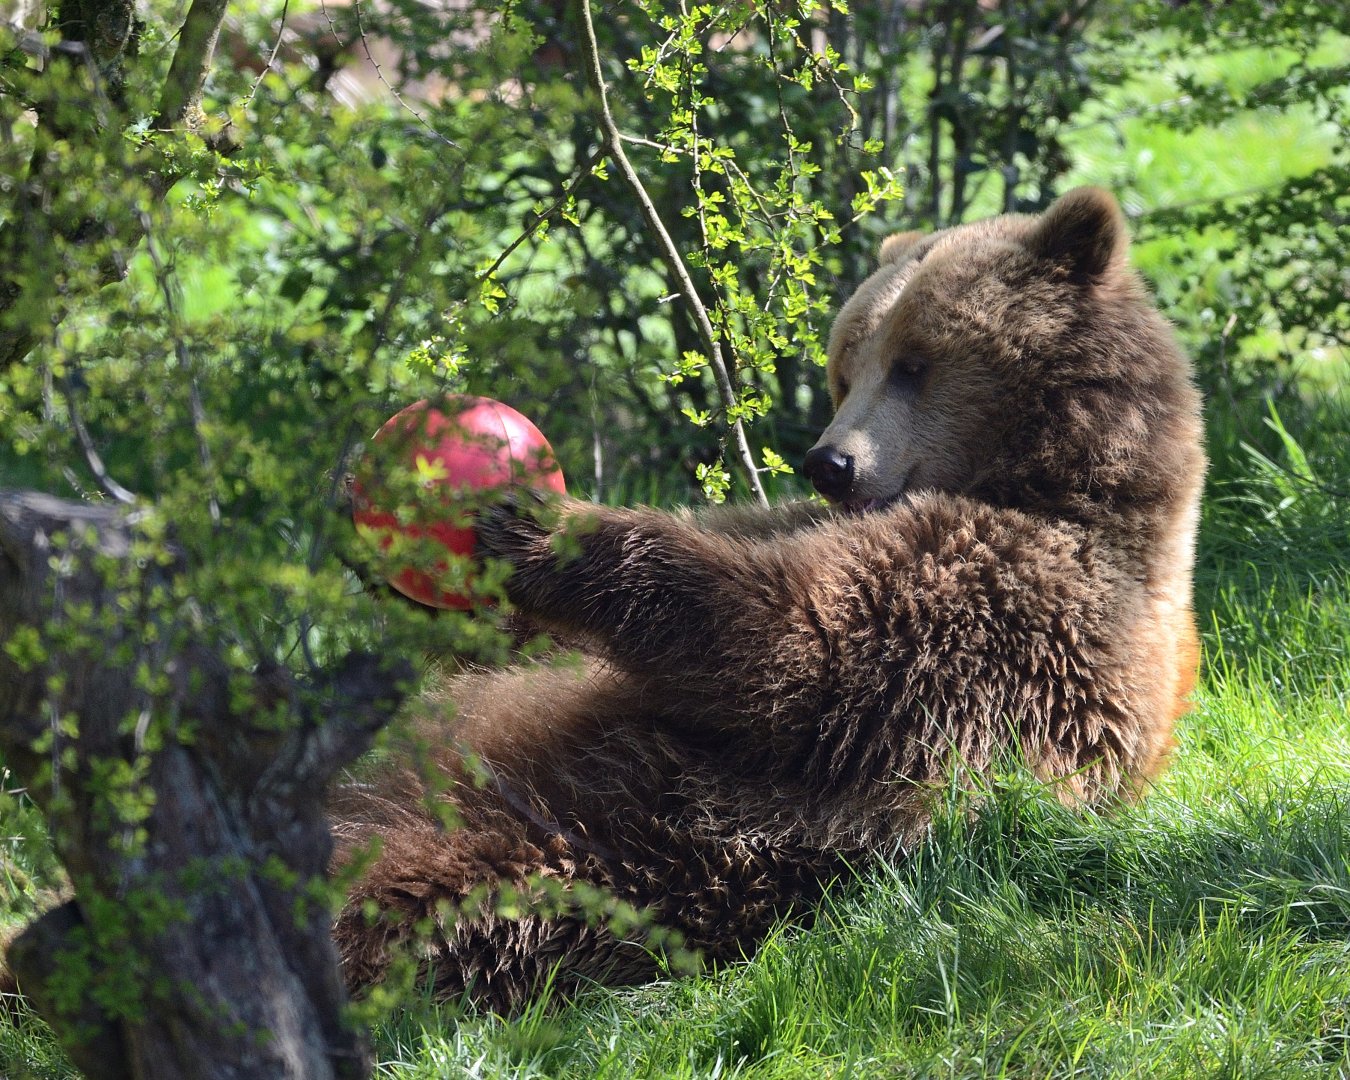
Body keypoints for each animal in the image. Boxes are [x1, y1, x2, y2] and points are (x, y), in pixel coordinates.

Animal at [329, 186, 1206, 1012]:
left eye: (915, 362)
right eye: (846, 365)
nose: (830, 463)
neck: (1049, 482)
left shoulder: (1006, 606)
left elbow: (794, 650)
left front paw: (542, 526)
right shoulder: (795, 523)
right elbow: (559, 638)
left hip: (574, 846)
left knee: (405, 896)